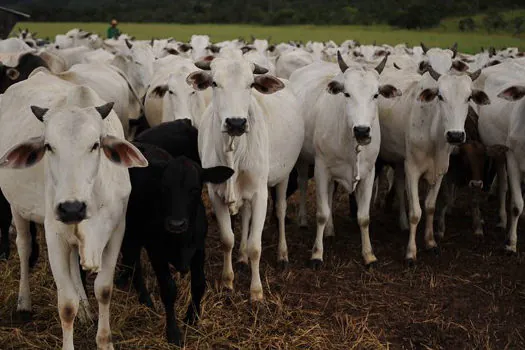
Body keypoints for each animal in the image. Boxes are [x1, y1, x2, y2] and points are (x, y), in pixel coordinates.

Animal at [0, 69, 146, 348]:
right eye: (48, 146)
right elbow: (66, 305)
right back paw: (24, 303)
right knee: (24, 247)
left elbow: (104, 289)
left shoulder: (116, 230)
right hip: (17, 208)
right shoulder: (54, 234)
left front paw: (104, 340)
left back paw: (87, 311)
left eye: (95, 144)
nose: (71, 208)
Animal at [187, 49, 302, 300]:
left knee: (280, 211)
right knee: (246, 217)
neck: (234, 150)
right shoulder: (215, 194)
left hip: (283, 176)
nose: (236, 123)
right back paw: (241, 258)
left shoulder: (260, 194)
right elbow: (227, 239)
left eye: (250, 84)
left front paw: (256, 292)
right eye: (215, 83)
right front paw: (227, 281)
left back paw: (282, 254)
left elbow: (255, 246)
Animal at [288, 52, 400, 266]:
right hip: (303, 160)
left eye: (376, 95)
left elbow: (363, 217)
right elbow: (321, 213)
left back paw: (330, 230)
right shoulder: (321, 169)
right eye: (346, 94)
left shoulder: (368, 173)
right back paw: (303, 220)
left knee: (330, 194)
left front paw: (369, 255)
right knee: (303, 184)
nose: (362, 131)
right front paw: (317, 254)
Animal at [378, 66, 490, 262]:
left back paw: (402, 222)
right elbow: (416, 212)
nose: (455, 135)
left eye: (469, 97)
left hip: (399, 160)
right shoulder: (412, 169)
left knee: (398, 185)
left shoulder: (440, 171)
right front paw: (411, 252)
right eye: (440, 96)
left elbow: (430, 207)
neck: (432, 133)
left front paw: (430, 243)